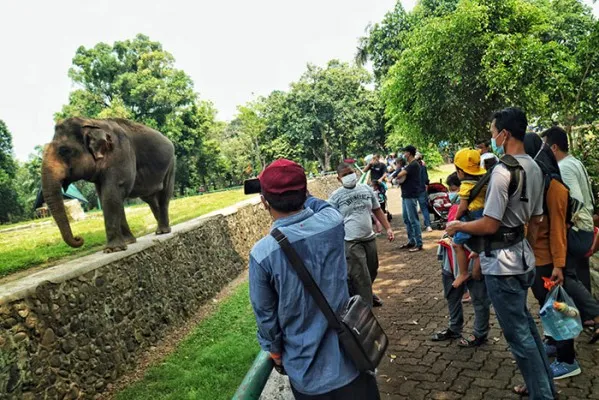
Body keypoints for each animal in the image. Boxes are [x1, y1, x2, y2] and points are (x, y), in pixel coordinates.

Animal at [42, 117, 176, 252]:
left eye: (64, 151)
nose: (79, 238)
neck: (91, 123)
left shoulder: (121, 154)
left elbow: (112, 193)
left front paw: (113, 249)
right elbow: (107, 196)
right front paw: (128, 242)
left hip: (171, 164)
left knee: (164, 195)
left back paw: (163, 231)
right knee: (150, 199)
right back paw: (160, 230)